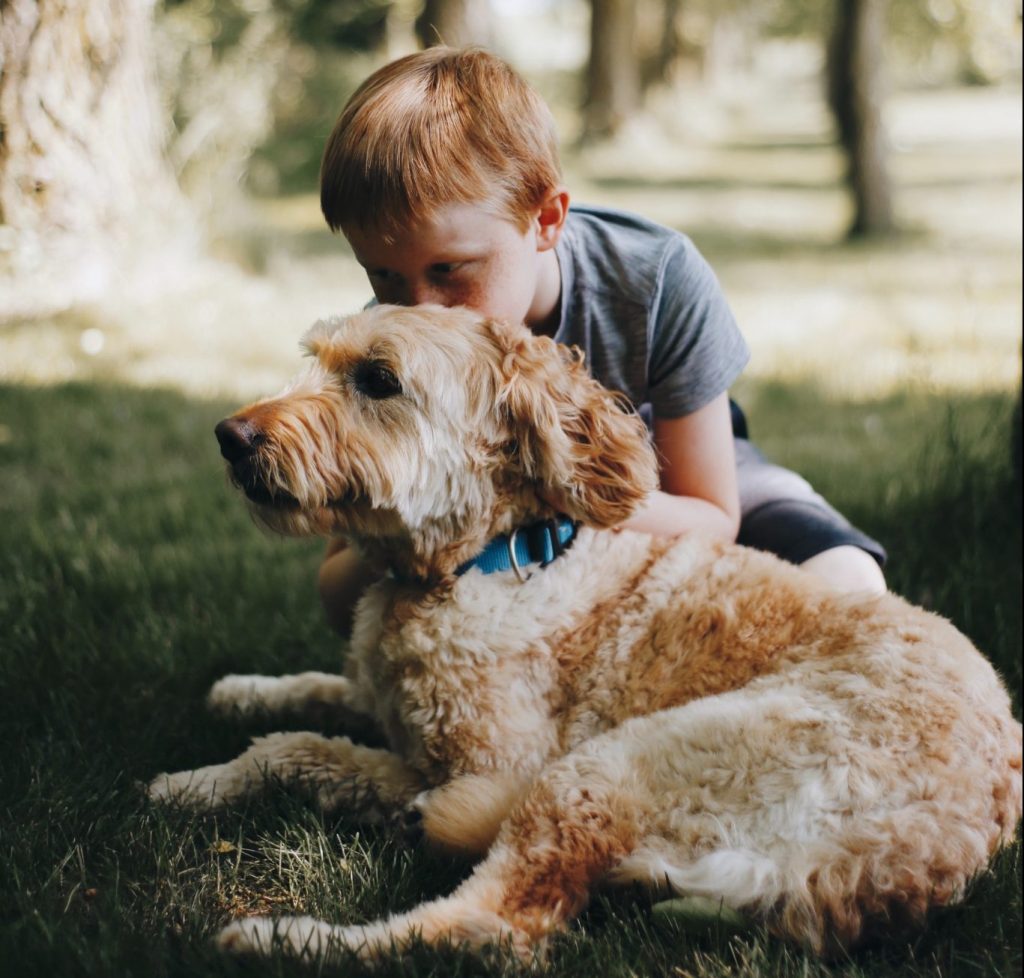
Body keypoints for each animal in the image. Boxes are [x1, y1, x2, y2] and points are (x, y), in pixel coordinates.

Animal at [148, 305, 1019, 962]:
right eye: (320, 358)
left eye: (379, 380)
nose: (230, 436)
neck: (488, 558)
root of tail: (922, 855)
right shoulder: (385, 702)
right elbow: (309, 706)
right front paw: (237, 705)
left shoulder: (493, 762)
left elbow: (305, 750)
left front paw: (195, 782)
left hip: (608, 769)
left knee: (490, 928)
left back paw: (285, 940)